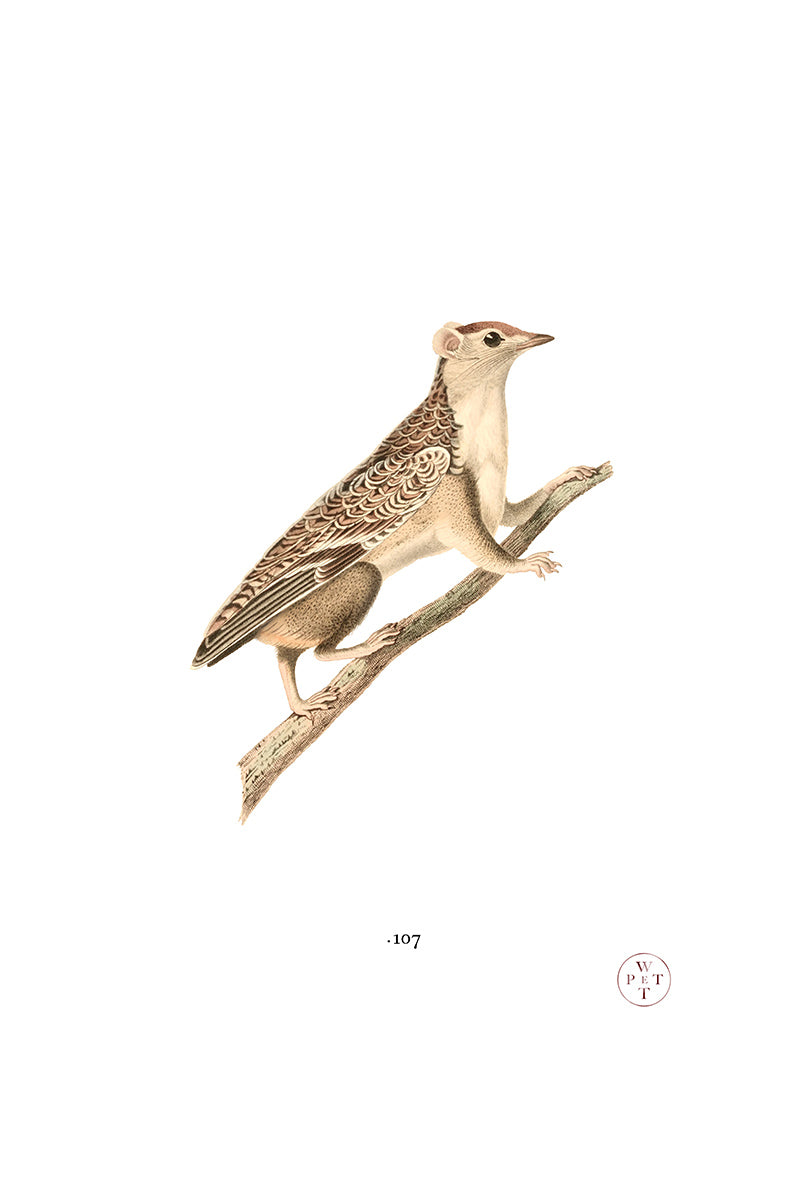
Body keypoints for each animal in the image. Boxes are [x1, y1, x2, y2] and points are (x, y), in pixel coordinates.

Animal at [192, 320, 597, 718]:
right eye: (492, 337)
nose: (542, 337)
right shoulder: (455, 510)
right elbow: (489, 554)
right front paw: (524, 563)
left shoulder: (496, 503)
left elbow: (521, 511)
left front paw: (567, 476)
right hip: (353, 580)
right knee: (317, 649)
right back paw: (368, 645)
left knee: (285, 656)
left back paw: (301, 704)